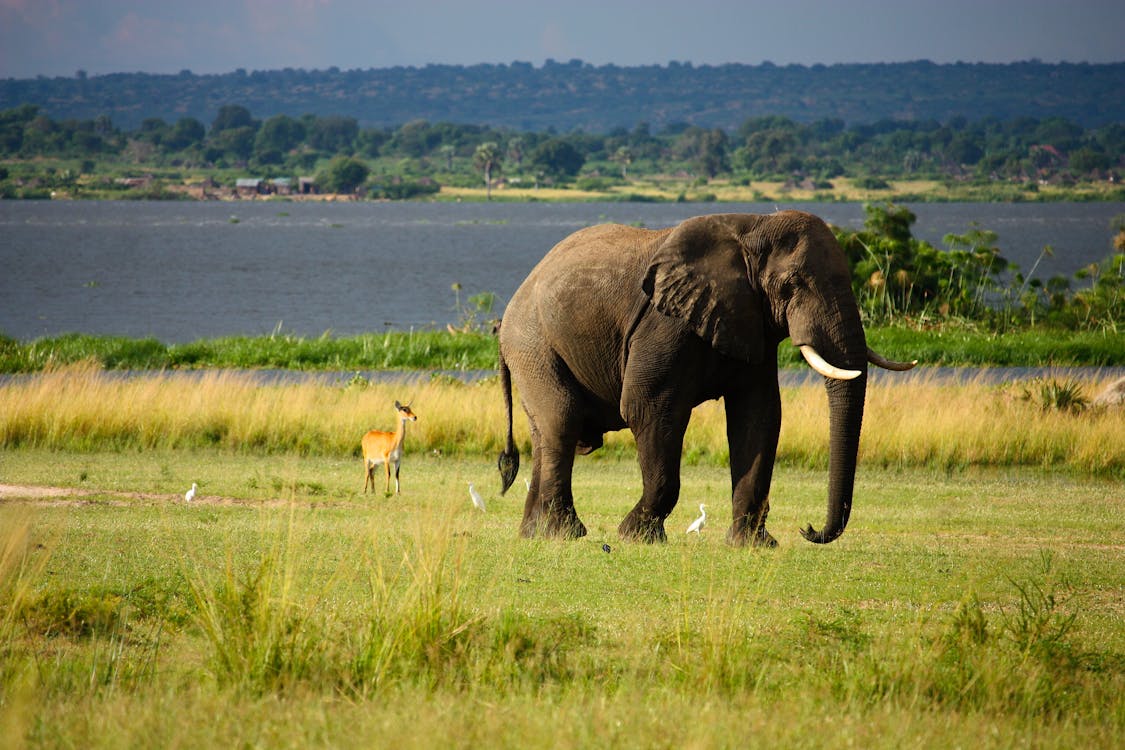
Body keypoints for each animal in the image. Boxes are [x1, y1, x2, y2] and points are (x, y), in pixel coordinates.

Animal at [496, 210, 915, 546]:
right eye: (791, 285)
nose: (809, 529)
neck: (752, 227)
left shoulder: (750, 321)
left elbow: (759, 416)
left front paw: (753, 544)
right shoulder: (665, 323)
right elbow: (649, 408)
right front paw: (637, 536)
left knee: (545, 432)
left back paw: (534, 533)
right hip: (533, 343)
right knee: (561, 422)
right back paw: (564, 534)